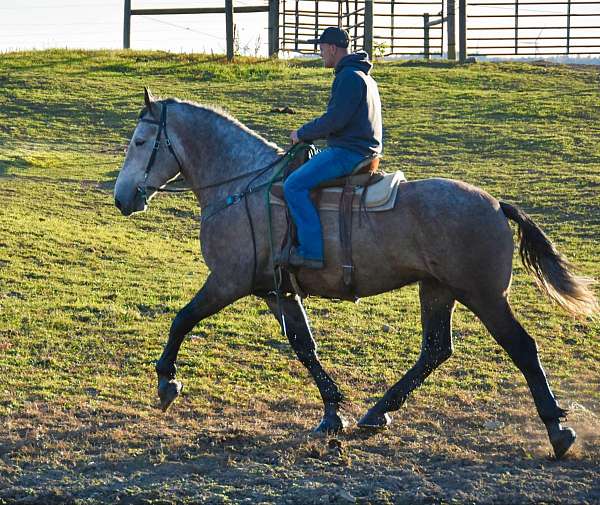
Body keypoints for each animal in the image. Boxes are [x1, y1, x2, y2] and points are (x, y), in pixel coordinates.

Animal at [112, 88, 596, 458]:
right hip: (437, 289)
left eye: (140, 141)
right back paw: (378, 411)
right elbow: (303, 346)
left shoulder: (228, 282)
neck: (242, 185)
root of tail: (496, 204)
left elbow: (183, 319)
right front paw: (332, 412)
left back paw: (557, 430)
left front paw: (166, 382)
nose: (122, 198)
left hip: (484, 296)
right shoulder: (276, 291)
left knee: (522, 348)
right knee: (435, 350)